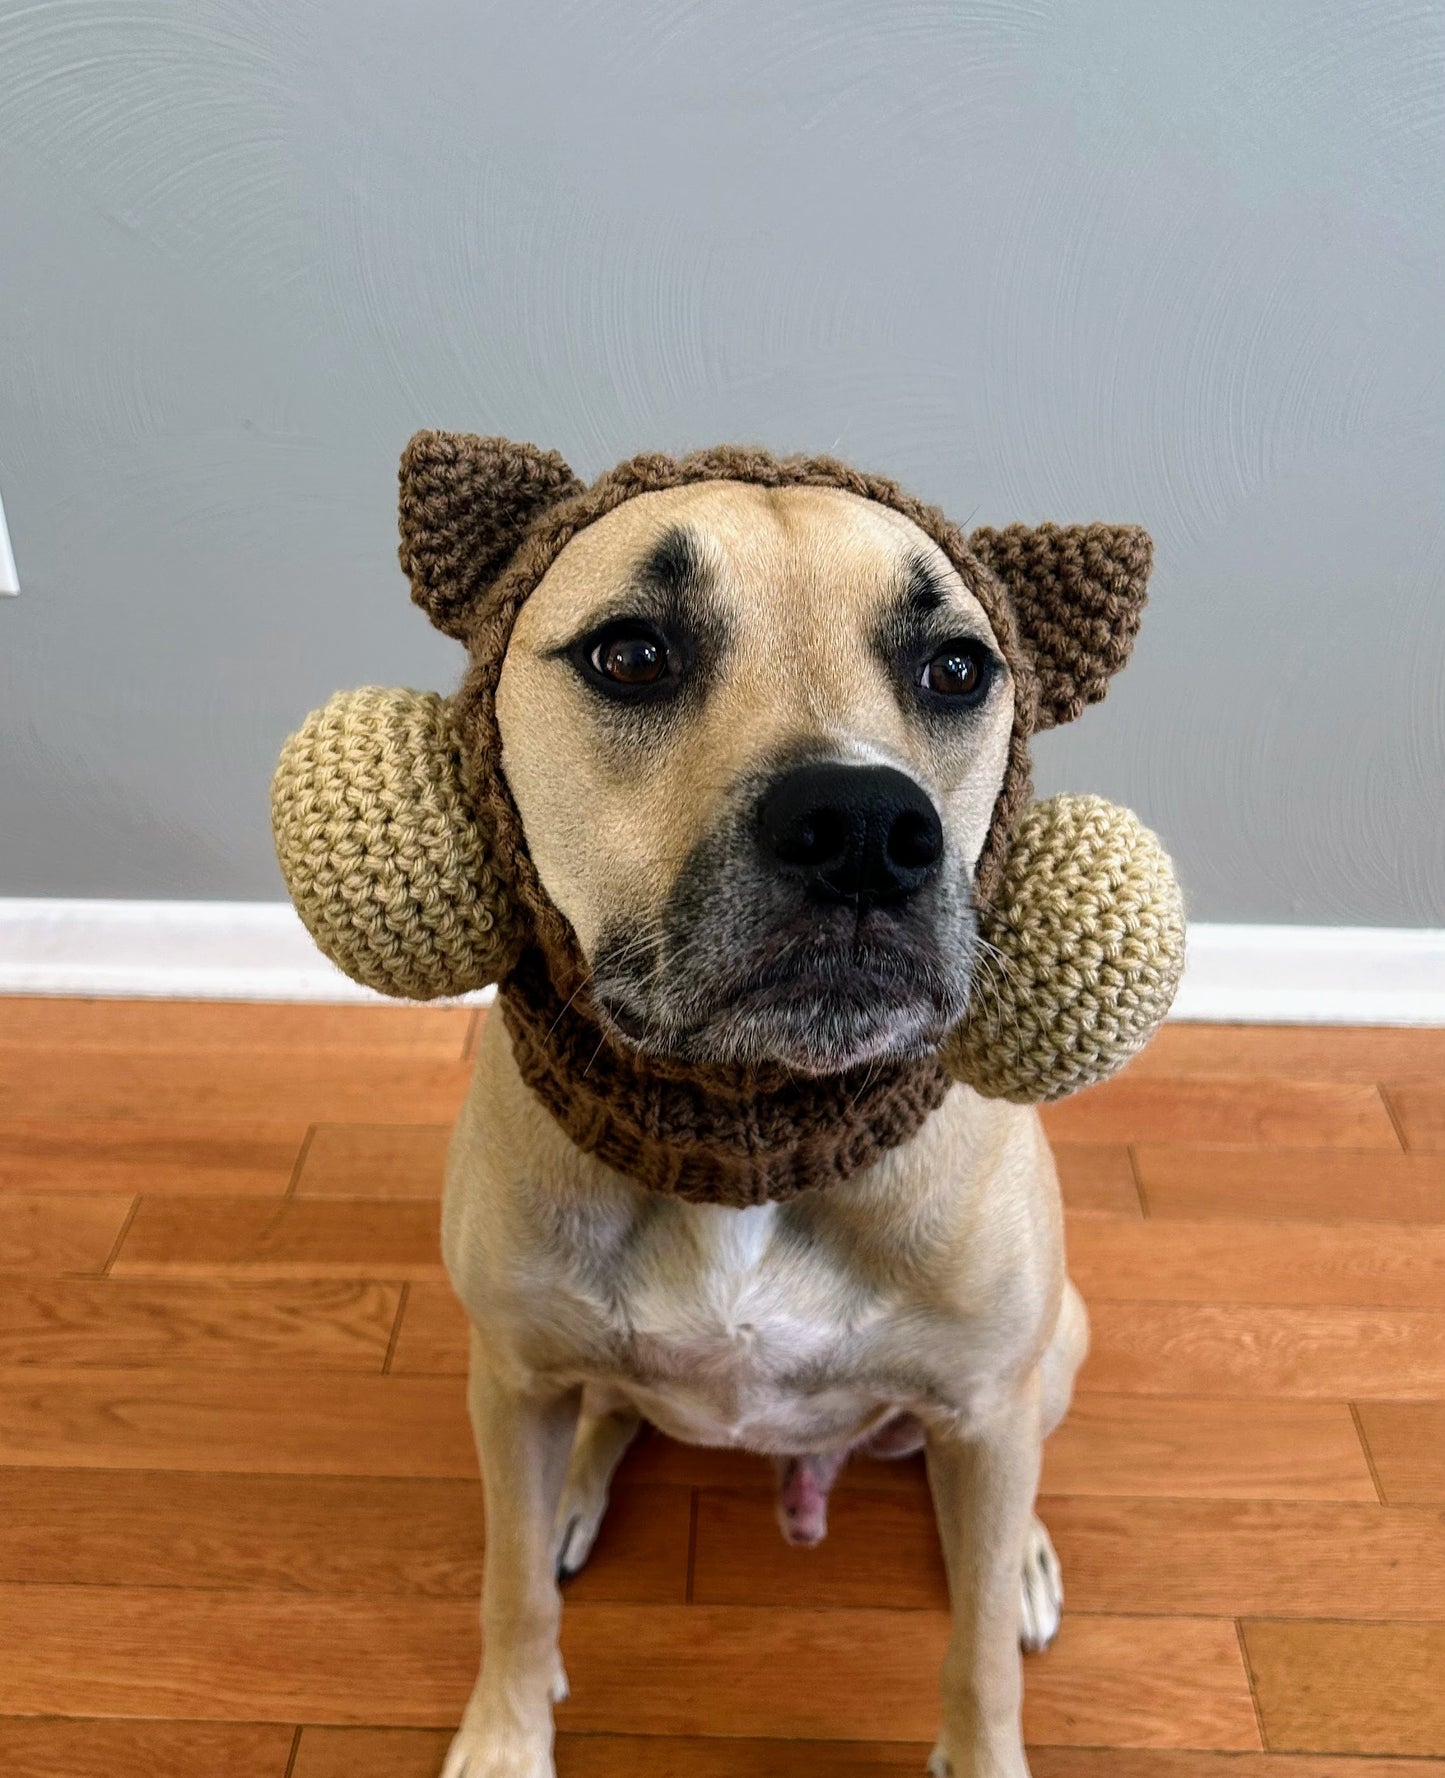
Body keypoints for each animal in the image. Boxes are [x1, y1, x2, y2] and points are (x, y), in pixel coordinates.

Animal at [439, 472, 1094, 1778]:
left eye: (955, 668)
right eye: (631, 652)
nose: (864, 826)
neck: (752, 1124)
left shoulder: (987, 1405)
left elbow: (977, 1654)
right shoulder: (511, 1376)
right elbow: (509, 1590)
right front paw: (505, 1733)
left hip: (1049, 1354)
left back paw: (1022, 1555)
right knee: (603, 1412)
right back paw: (576, 1486)